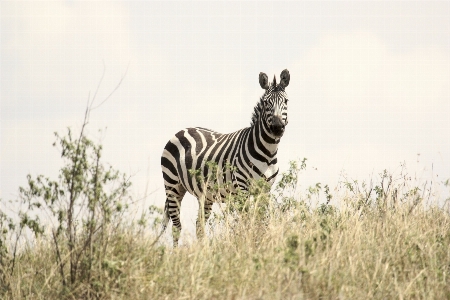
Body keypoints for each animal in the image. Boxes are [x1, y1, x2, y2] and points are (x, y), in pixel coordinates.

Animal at [160, 69, 290, 246]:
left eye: (286, 101)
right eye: (266, 102)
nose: (277, 128)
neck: (268, 153)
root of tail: (183, 130)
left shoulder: (265, 189)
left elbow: (261, 221)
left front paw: (259, 245)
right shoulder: (242, 187)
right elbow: (246, 221)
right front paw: (247, 245)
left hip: (204, 195)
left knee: (199, 226)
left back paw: (204, 251)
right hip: (172, 186)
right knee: (176, 226)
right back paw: (176, 253)